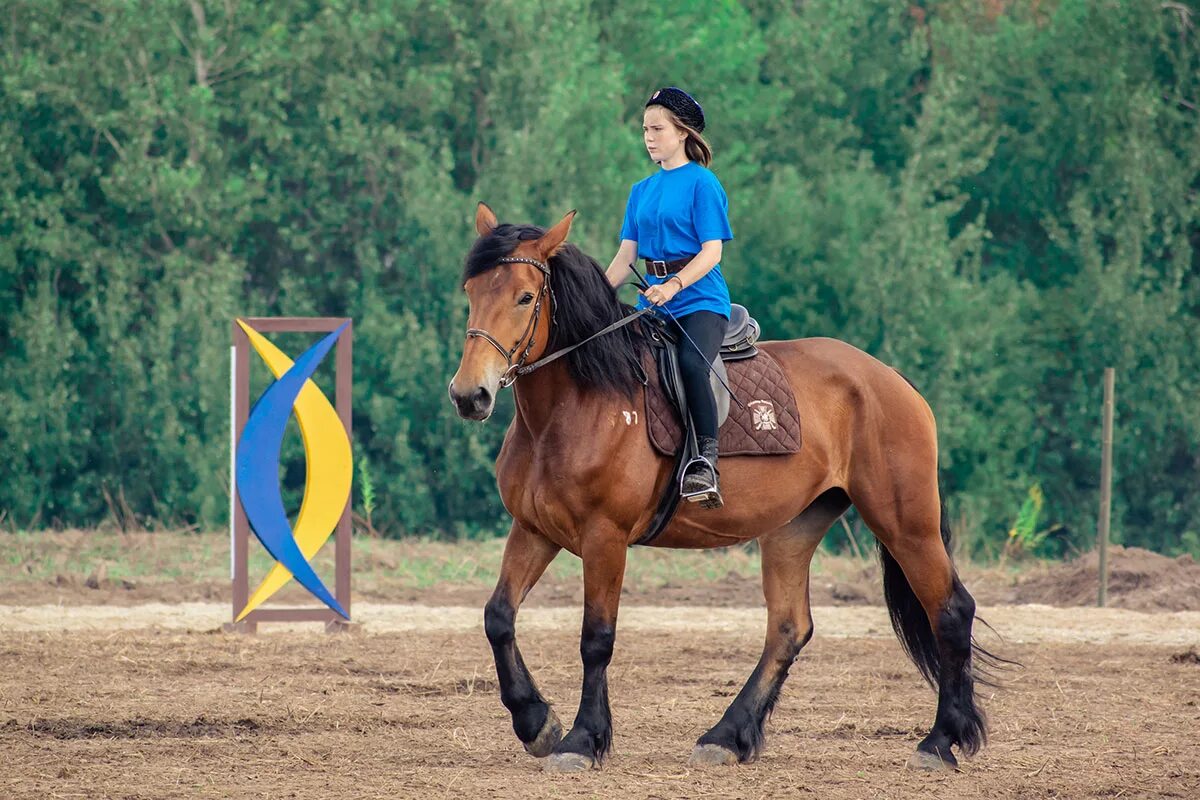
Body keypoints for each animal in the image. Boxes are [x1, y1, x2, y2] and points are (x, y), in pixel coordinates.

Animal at [446, 203, 998, 772]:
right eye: (471, 291)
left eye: (524, 297)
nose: (470, 395)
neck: (577, 405)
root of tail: (888, 378)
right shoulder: (534, 529)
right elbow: (498, 617)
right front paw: (536, 722)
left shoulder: (605, 538)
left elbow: (596, 639)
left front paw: (581, 739)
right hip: (794, 528)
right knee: (789, 629)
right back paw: (726, 736)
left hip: (904, 524)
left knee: (951, 611)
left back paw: (939, 742)